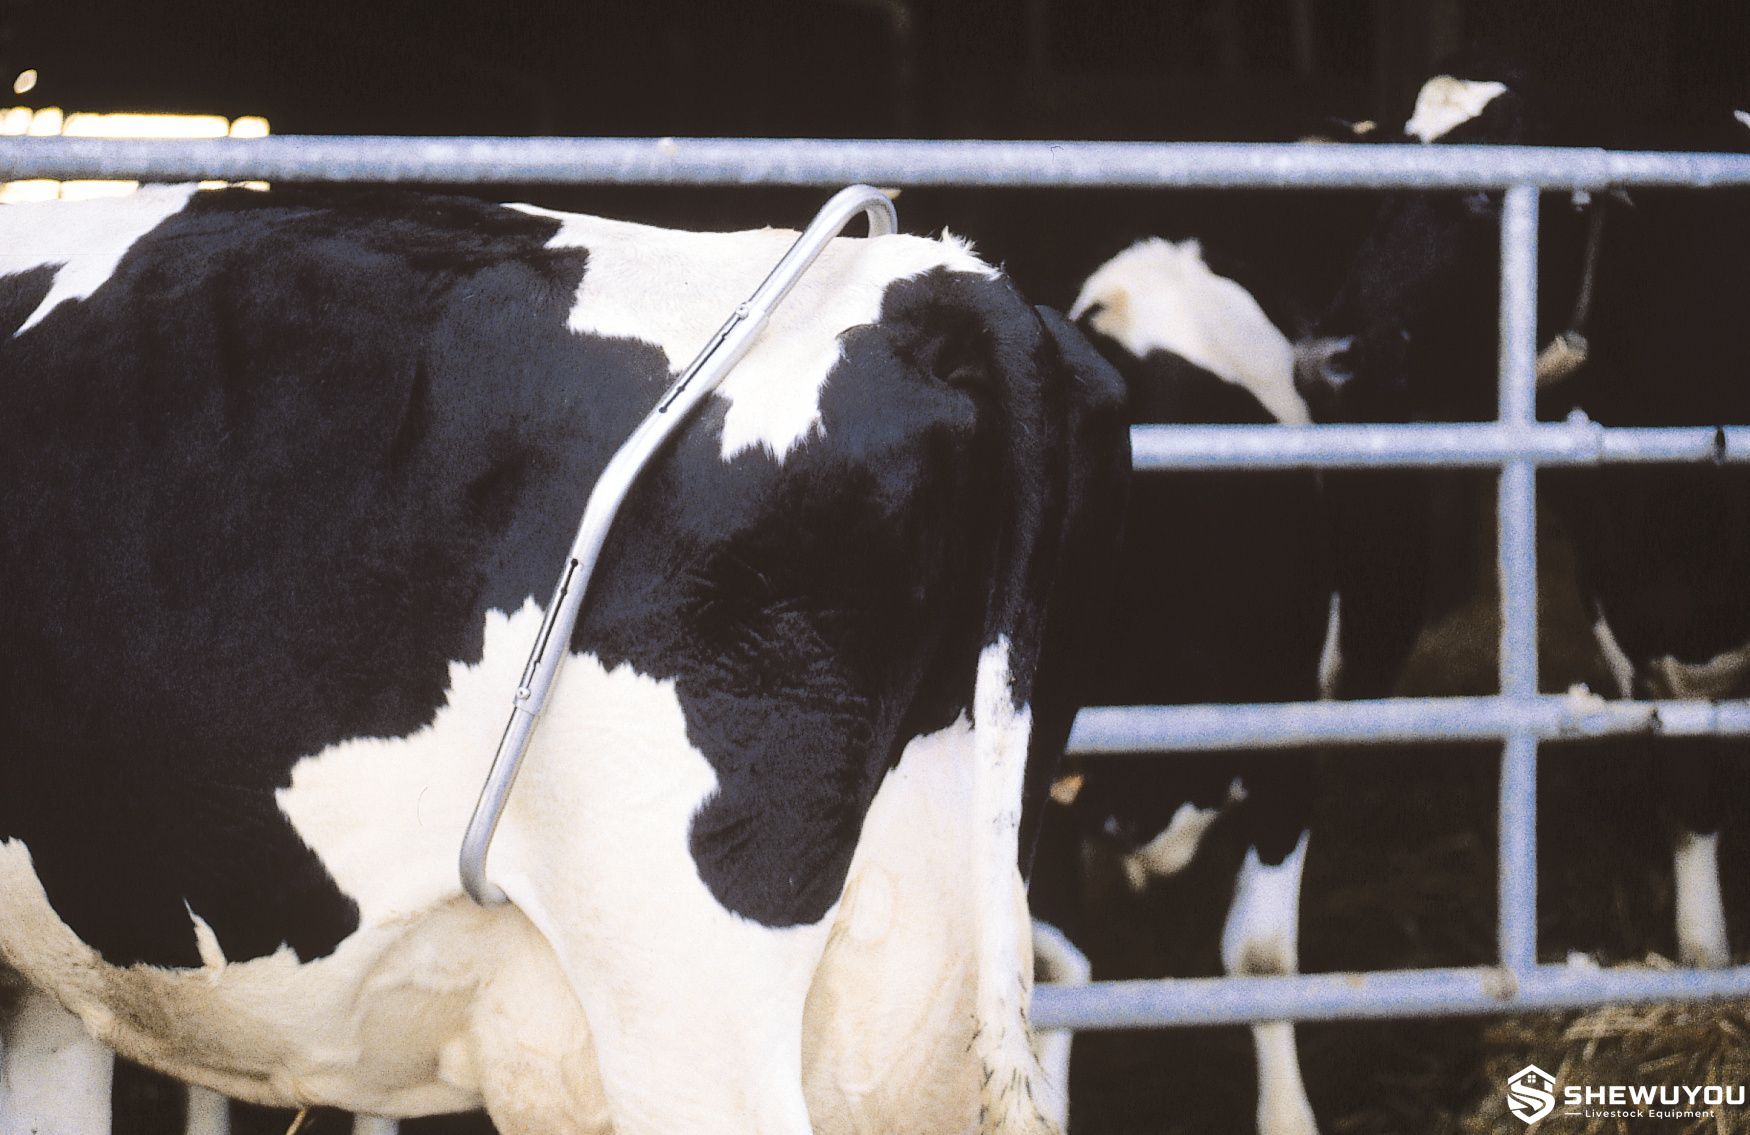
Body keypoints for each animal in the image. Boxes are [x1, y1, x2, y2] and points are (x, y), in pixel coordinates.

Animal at [1295, 49, 1750, 971]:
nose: (1324, 358)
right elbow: (1690, 795)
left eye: (1482, 193)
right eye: (1375, 185)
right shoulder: (1637, 613)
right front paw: (1703, 957)